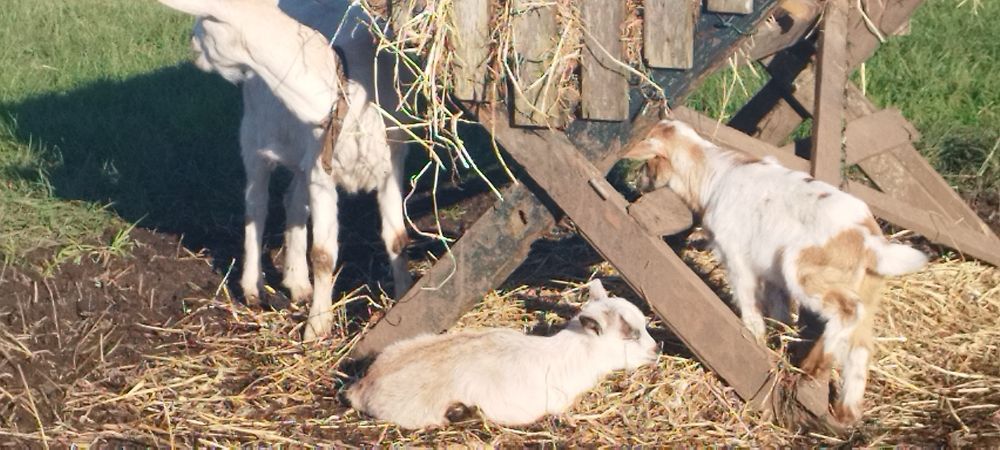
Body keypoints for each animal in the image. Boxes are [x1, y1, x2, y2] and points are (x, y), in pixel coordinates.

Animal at [158, 0, 412, 340]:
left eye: (205, 21)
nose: (192, 46)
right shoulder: (321, 173)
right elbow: (323, 255)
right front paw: (317, 326)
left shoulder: (390, 164)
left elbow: (397, 238)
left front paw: (405, 295)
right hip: (253, 134)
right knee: (256, 206)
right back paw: (254, 286)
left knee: (292, 201)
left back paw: (297, 281)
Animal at [620, 119, 928, 424]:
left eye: (647, 162)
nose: (638, 183)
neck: (710, 173)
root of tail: (868, 240)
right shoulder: (771, 274)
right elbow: (779, 311)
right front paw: (778, 341)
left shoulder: (737, 257)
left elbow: (749, 303)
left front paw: (755, 339)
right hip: (866, 290)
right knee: (861, 348)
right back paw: (846, 412)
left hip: (801, 270)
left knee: (849, 311)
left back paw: (814, 366)